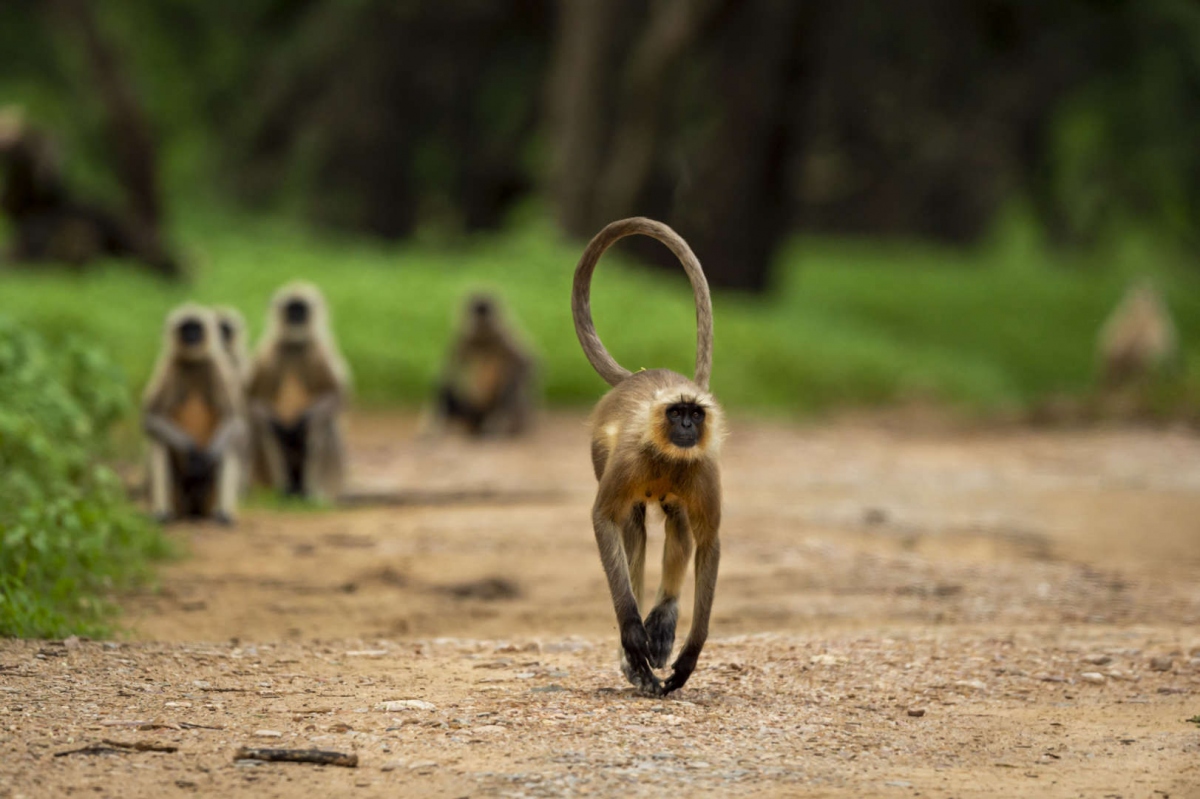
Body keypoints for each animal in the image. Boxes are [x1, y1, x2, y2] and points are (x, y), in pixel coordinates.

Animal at [141, 302, 243, 520]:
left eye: (196, 327)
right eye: (185, 328)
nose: (192, 336)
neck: (194, 362)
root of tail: (193, 510)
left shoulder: (215, 367)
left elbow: (231, 419)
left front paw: (206, 456)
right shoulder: (170, 366)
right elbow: (151, 418)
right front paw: (191, 450)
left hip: (208, 498)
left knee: (228, 447)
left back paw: (223, 515)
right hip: (178, 498)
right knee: (159, 443)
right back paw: (163, 514)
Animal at [246, 283, 350, 501]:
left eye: (302, 309)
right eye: (291, 309)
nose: (296, 317)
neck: (294, 346)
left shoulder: (319, 351)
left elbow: (337, 394)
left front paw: (303, 421)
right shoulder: (267, 352)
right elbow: (249, 399)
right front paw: (275, 423)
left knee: (323, 424)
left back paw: (310, 493)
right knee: (262, 429)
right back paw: (282, 490)